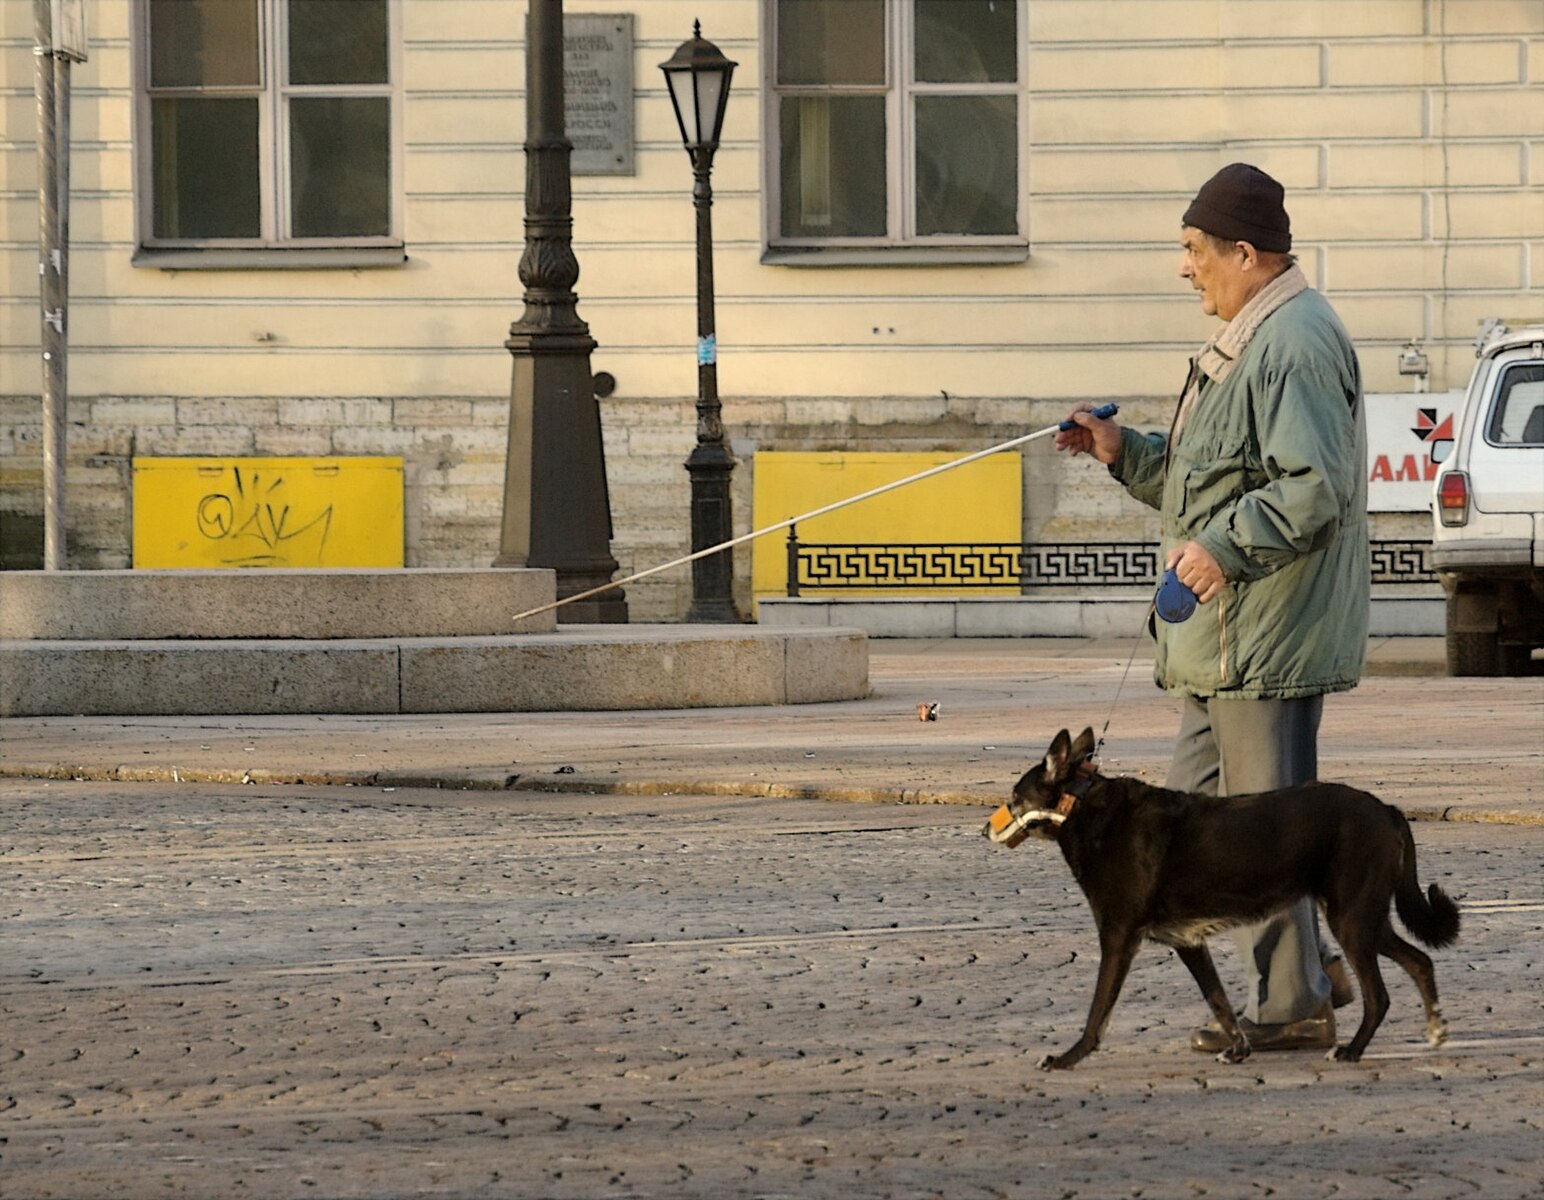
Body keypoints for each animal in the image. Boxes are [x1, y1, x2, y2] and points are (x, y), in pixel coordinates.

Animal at [988, 725, 1457, 1074]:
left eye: (1014, 798)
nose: (983, 829)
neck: (1083, 807)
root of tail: (1388, 809)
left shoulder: (1118, 939)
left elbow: (1096, 1013)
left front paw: (1068, 1057)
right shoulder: (1189, 942)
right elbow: (1220, 1002)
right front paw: (1237, 1049)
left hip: (1352, 919)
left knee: (1379, 995)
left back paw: (1353, 1050)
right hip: (1365, 917)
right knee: (1420, 960)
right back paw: (1435, 1027)